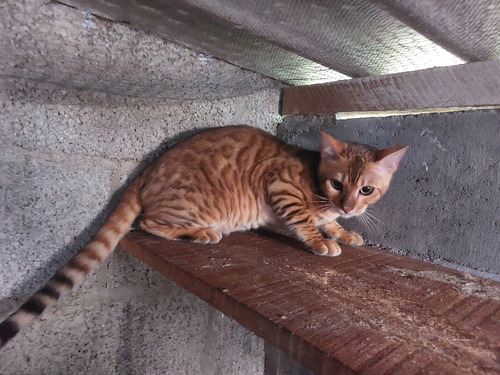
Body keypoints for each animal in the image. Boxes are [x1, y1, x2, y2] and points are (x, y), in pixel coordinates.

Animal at [0, 125, 406, 348]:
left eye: (366, 190)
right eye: (337, 183)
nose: (349, 206)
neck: (315, 181)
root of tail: (146, 172)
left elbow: (328, 222)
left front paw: (343, 230)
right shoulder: (281, 187)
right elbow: (304, 220)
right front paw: (321, 238)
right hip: (192, 205)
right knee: (148, 221)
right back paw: (201, 232)